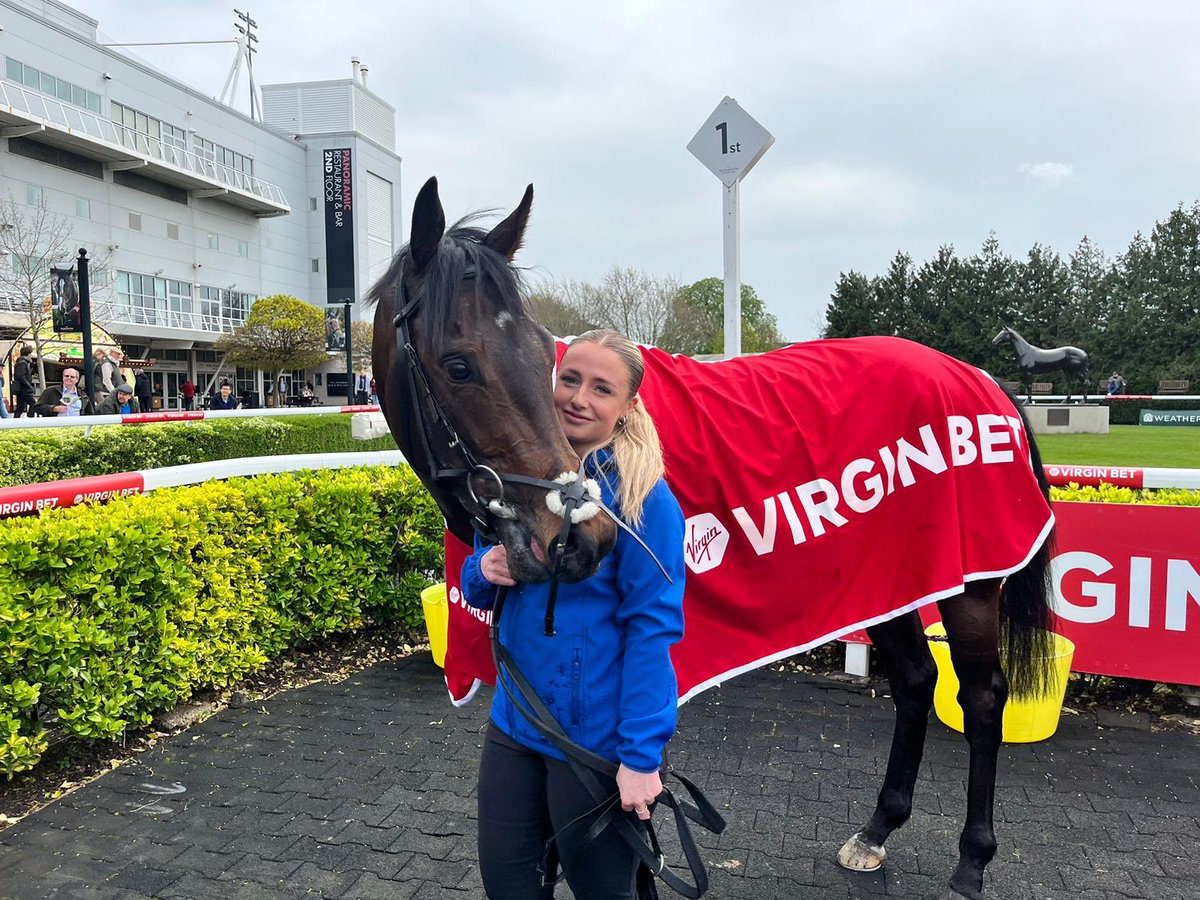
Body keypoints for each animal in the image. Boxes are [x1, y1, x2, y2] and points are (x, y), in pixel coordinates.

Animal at [372, 177, 1060, 900]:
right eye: (457, 365)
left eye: (543, 356)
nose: (577, 540)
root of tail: (982, 378)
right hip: (893, 578)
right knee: (915, 679)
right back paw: (877, 829)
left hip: (971, 587)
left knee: (981, 698)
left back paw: (972, 858)